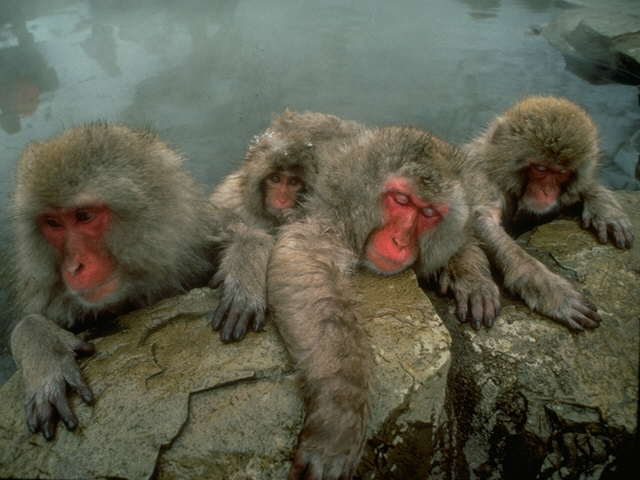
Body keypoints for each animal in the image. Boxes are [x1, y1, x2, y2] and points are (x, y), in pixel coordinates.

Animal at [266, 125, 500, 478]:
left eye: (428, 212)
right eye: (401, 200)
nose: (398, 240)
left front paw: (473, 276)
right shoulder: (330, 212)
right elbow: (307, 261)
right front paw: (339, 411)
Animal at [464, 96, 632, 332]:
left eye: (561, 172)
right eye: (541, 169)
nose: (545, 192)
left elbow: (581, 189)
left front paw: (606, 210)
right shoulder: (479, 174)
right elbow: (481, 220)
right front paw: (553, 291)